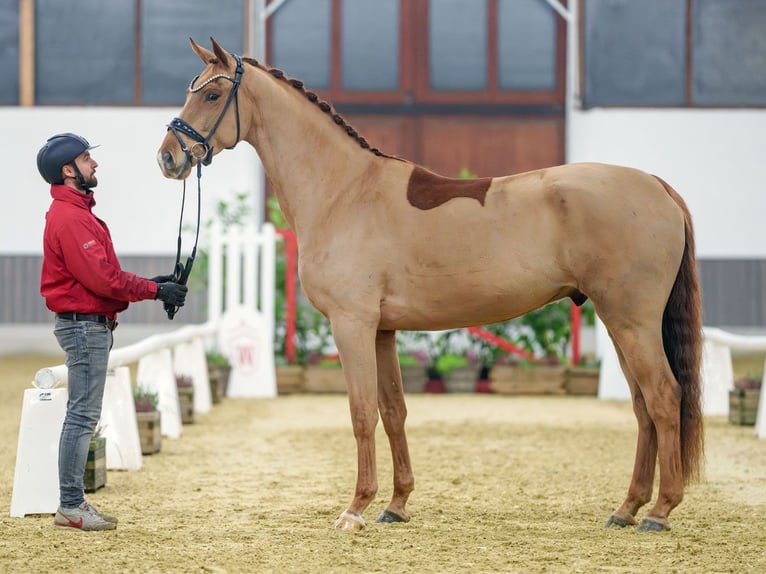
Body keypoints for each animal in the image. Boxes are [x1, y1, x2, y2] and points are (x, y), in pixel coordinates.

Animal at [159, 39, 704, 536]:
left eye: (211, 95)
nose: (167, 158)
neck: (344, 192)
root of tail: (657, 186)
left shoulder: (352, 325)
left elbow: (361, 413)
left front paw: (354, 509)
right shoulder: (382, 331)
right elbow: (393, 410)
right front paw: (395, 505)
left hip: (630, 320)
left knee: (662, 397)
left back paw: (659, 512)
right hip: (618, 322)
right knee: (642, 406)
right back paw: (626, 509)